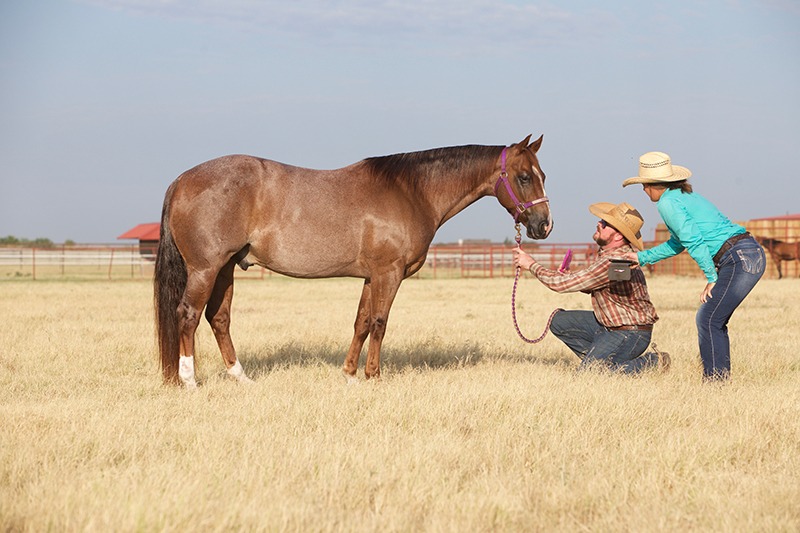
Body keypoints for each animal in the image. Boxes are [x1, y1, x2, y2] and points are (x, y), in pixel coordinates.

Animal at [154, 135, 553, 387]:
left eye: (542, 174)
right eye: (523, 177)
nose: (544, 225)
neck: (411, 192)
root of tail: (181, 181)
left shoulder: (370, 275)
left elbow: (361, 322)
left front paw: (348, 374)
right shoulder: (389, 273)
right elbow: (379, 322)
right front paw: (374, 376)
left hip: (225, 268)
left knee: (218, 319)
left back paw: (241, 378)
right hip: (206, 268)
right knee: (188, 315)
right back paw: (189, 381)